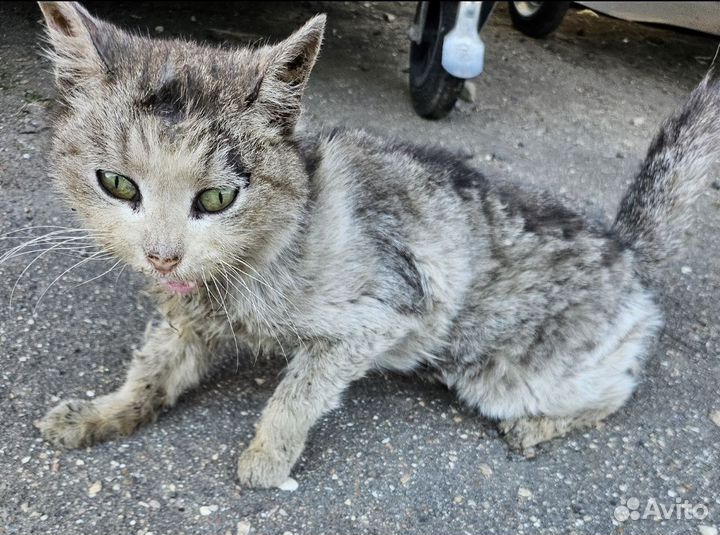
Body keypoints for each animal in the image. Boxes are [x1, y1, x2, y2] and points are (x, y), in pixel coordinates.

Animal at [35, 3, 720, 490]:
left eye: (216, 198)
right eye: (118, 184)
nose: (162, 255)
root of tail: (623, 241)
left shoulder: (378, 317)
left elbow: (297, 395)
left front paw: (266, 460)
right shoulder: (185, 318)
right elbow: (150, 371)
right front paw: (99, 414)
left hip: (516, 376)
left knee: (616, 391)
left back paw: (538, 427)